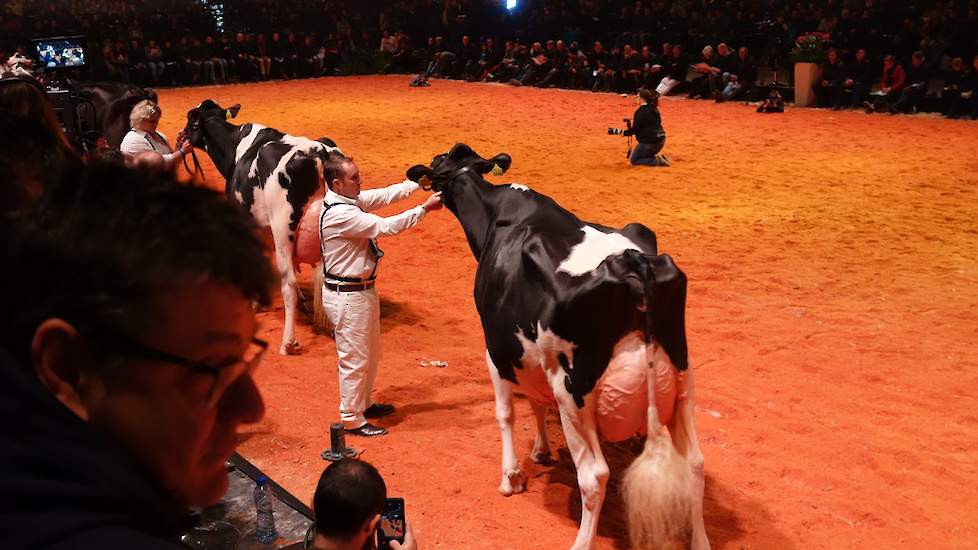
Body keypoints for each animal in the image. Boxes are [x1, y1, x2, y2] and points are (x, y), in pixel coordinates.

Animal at [186, 101, 340, 356]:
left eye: (191, 123)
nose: (181, 136)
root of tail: (318, 151)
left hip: (282, 226)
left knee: (288, 282)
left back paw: (288, 342)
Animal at [406, 144, 708, 548]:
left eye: (437, 167)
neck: (497, 214)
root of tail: (635, 266)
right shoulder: (532, 354)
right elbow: (536, 402)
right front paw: (542, 450)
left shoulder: (497, 350)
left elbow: (506, 413)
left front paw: (511, 477)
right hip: (682, 376)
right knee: (695, 464)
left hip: (573, 392)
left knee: (594, 475)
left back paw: (581, 541)